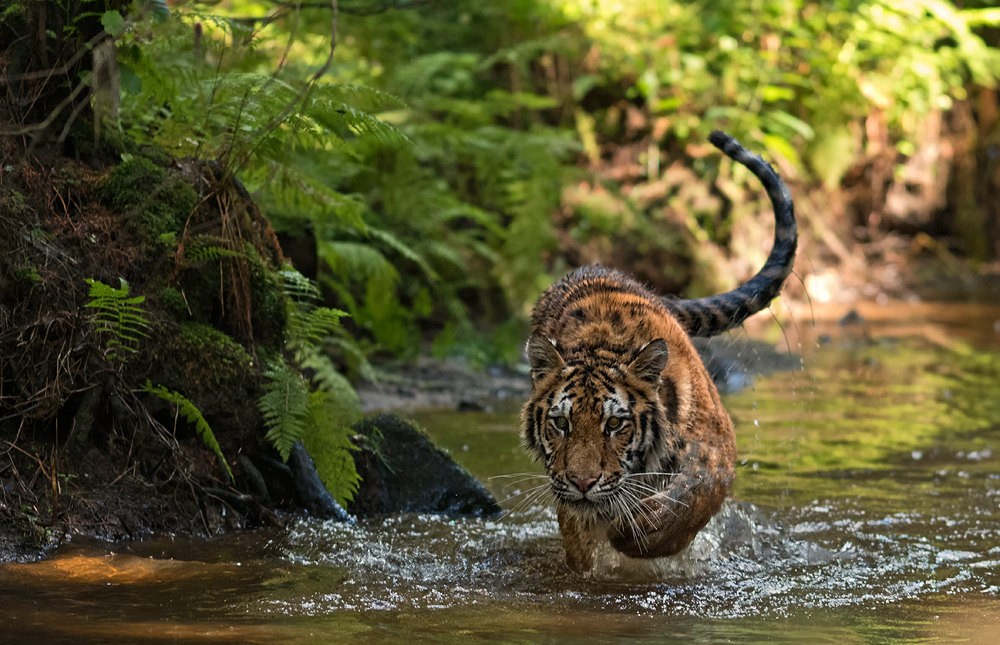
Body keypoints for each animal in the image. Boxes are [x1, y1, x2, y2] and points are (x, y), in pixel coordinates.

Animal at [520, 131, 797, 574]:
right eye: (560, 423)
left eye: (615, 424)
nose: (583, 483)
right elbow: (579, 542)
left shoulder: (716, 446)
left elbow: (693, 497)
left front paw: (643, 533)